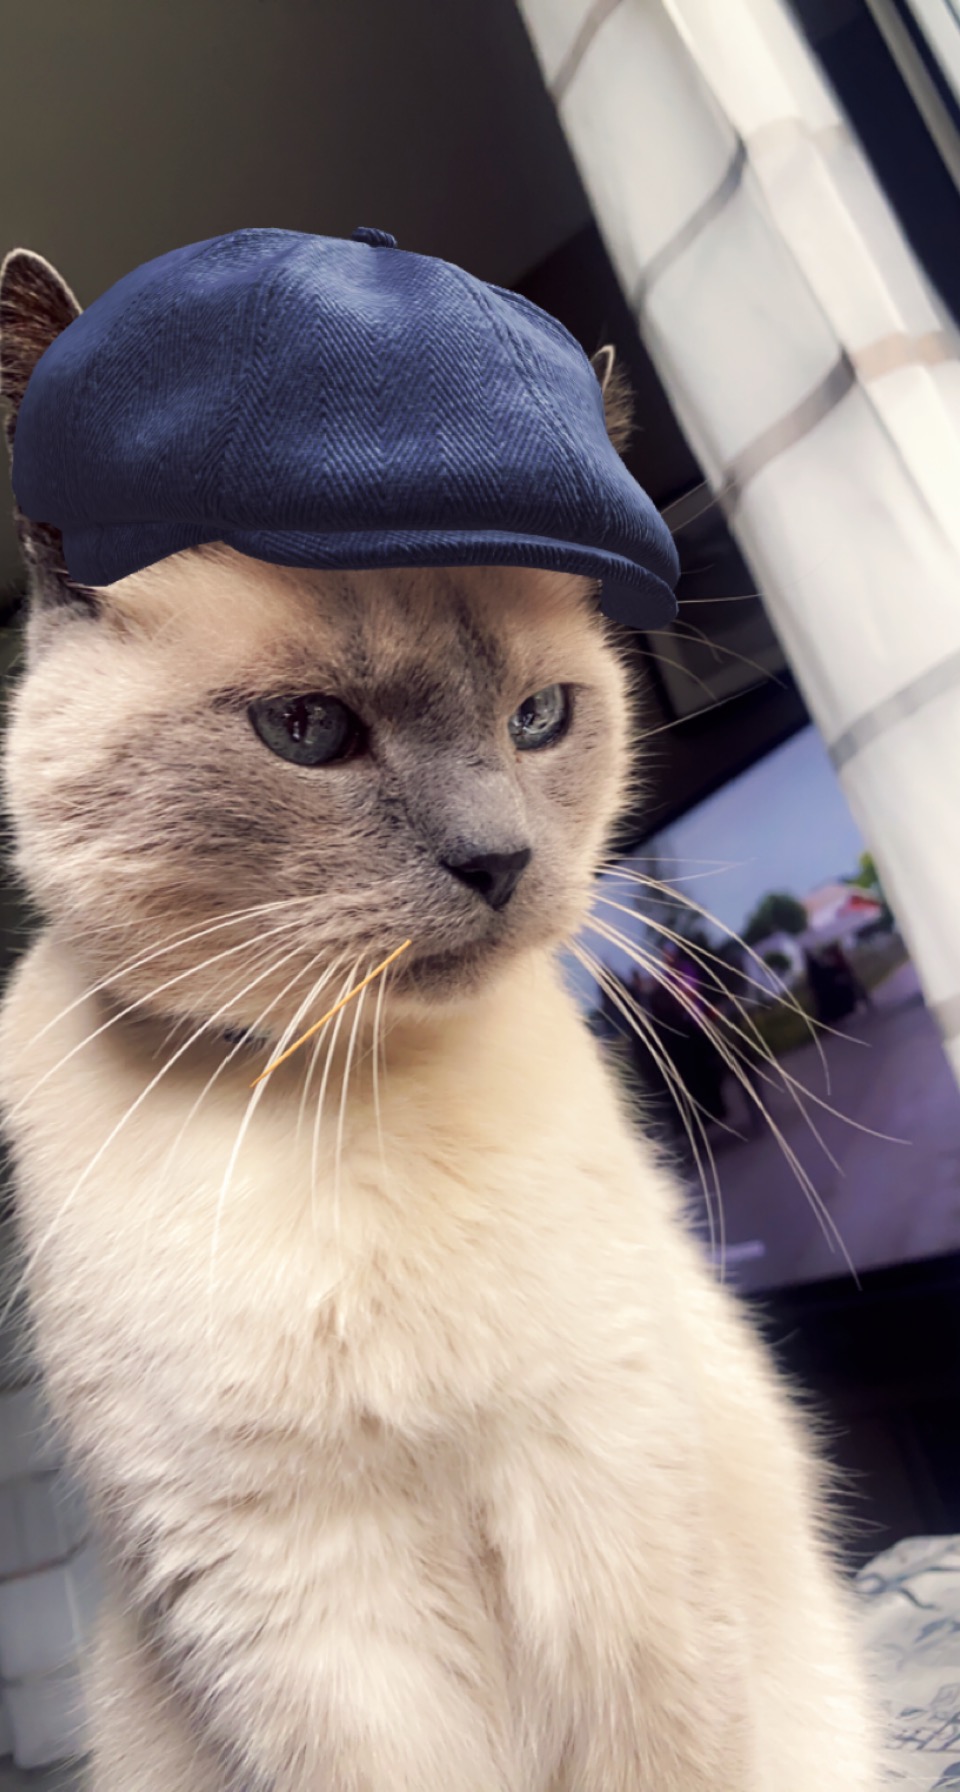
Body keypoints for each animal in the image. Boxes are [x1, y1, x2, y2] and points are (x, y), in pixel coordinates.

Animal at [0, 247, 877, 1790]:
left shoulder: (613, 1508)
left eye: (539, 720)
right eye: (306, 732)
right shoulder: (297, 1609)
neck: (349, 1094)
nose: (500, 864)